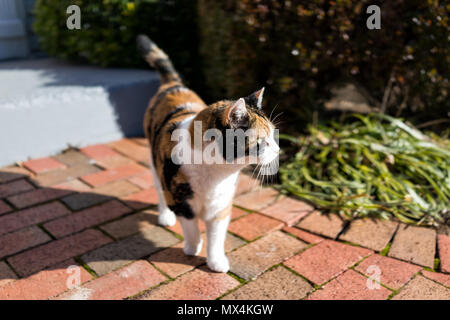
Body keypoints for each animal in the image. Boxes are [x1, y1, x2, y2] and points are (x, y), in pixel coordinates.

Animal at [136, 35, 278, 272]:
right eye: (261, 142)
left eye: (274, 136)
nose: (278, 150)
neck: (216, 173)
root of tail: (174, 85)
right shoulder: (181, 201)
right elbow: (191, 227)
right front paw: (192, 248)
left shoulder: (221, 207)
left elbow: (216, 237)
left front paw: (216, 262)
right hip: (156, 166)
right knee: (159, 190)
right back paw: (165, 216)